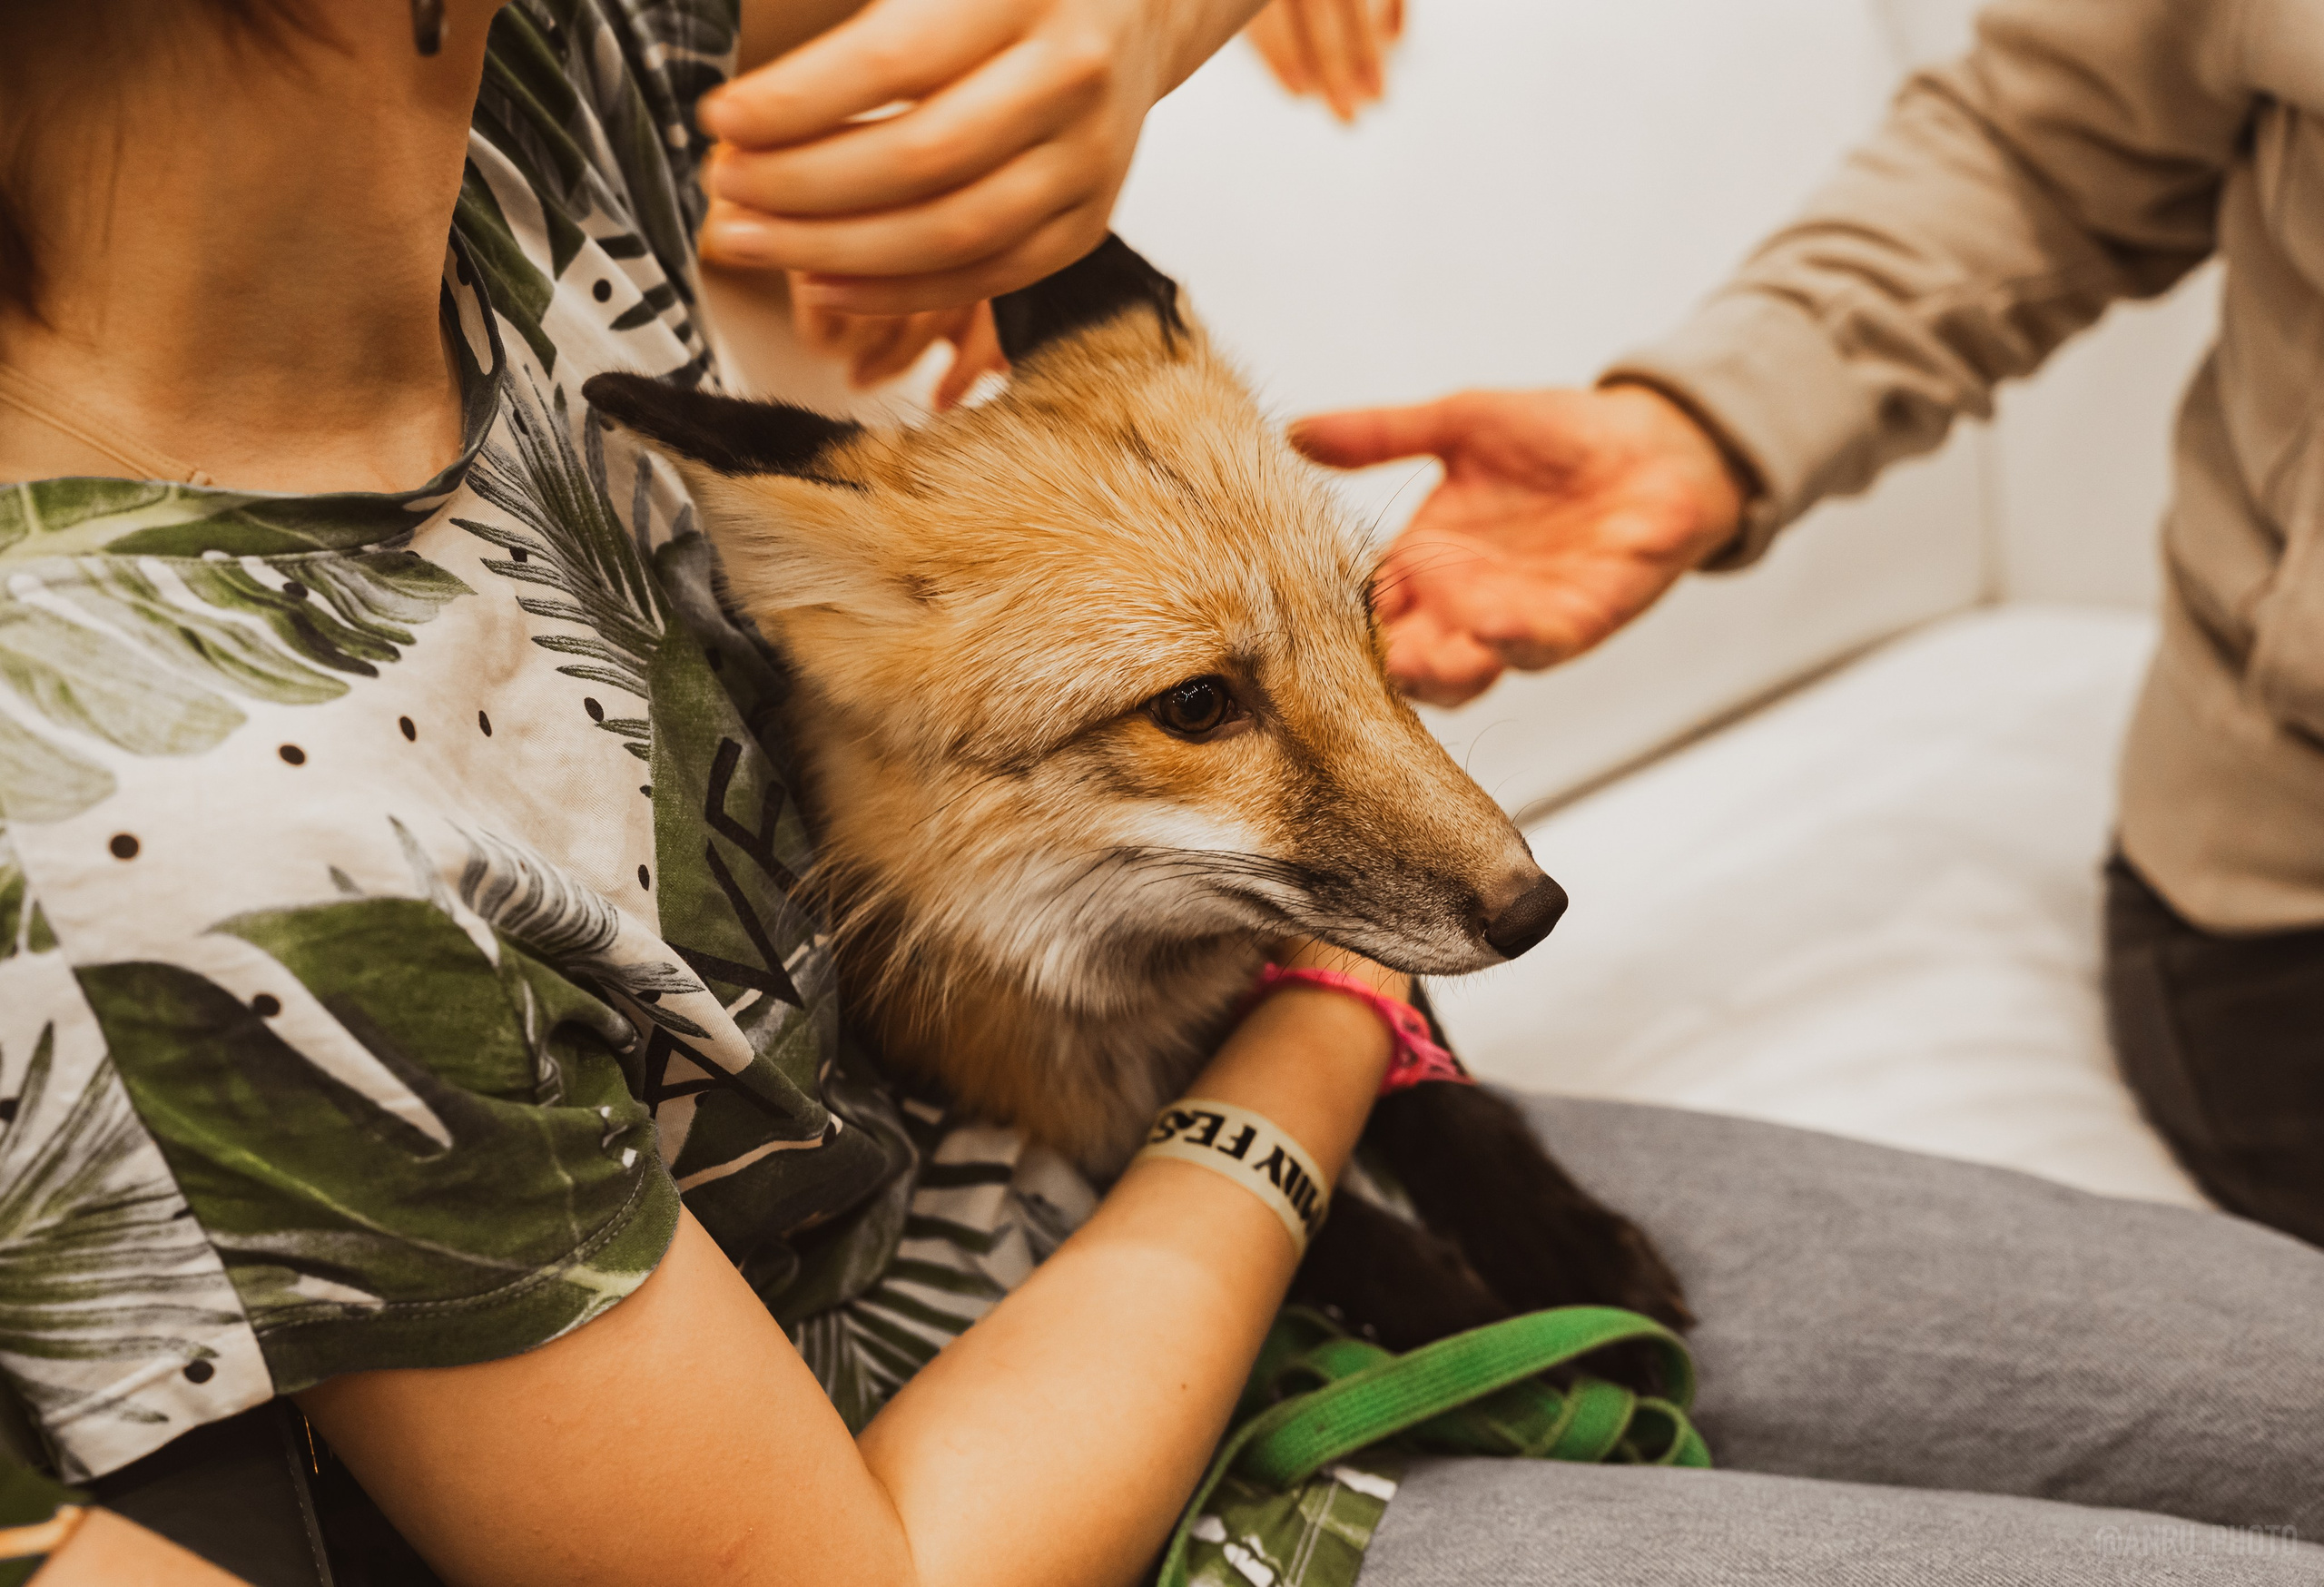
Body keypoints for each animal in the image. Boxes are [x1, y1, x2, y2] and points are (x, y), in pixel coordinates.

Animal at [584, 237, 1690, 1360]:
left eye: (1367, 616)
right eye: (1196, 704)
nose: (1536, 908)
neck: (1147, 991)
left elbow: (1449, 1096)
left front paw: (1561, 1242)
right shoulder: (1069, 1126)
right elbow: (1364, 1257)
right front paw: (1537, 1339)